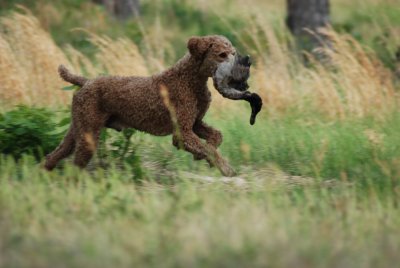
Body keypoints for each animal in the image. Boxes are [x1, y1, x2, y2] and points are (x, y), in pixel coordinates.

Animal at [44, 35, 238, 176]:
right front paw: (225, 168)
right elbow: (209, 149)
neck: (190, 79)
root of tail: (86, 81)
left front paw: (203, 154)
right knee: (75, 167)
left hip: (77, 130)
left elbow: (216, 137)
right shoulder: (182, 132)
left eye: (234, 53)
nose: (237, 71)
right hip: (88, 136)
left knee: (53, 156)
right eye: (222, 54)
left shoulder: (195, 124)